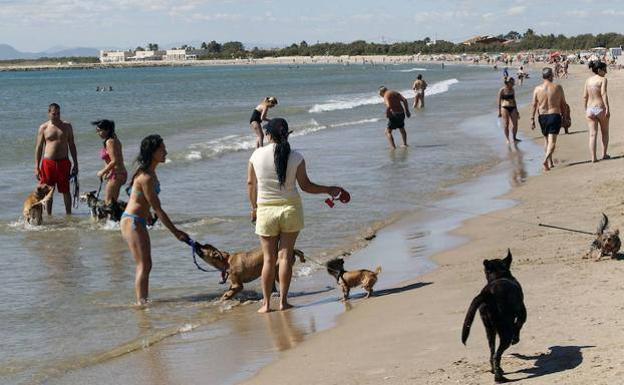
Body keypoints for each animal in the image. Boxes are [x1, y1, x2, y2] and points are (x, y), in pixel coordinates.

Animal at [464, 249, 528, 380]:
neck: (499, 276)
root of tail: (488, 294)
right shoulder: (522, 313)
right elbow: (518, 325)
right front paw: (516, 339)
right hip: (504, 331)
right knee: (496, 355)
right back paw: (499, 377)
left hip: (489, 330)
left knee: (492, 352)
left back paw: (495, 371)